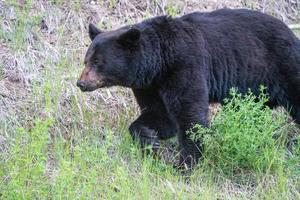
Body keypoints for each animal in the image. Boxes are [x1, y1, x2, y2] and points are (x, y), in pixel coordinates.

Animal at [77, 8, 300, 168]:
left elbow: (189, 114)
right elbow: (160, 115)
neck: (159, 61)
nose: (80, 83)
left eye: (97, 62)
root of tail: (292, 34)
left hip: (283, 66)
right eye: (85, 61)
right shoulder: (150, 85)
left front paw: (186, 163)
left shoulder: (185, 64)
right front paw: (150, 141)